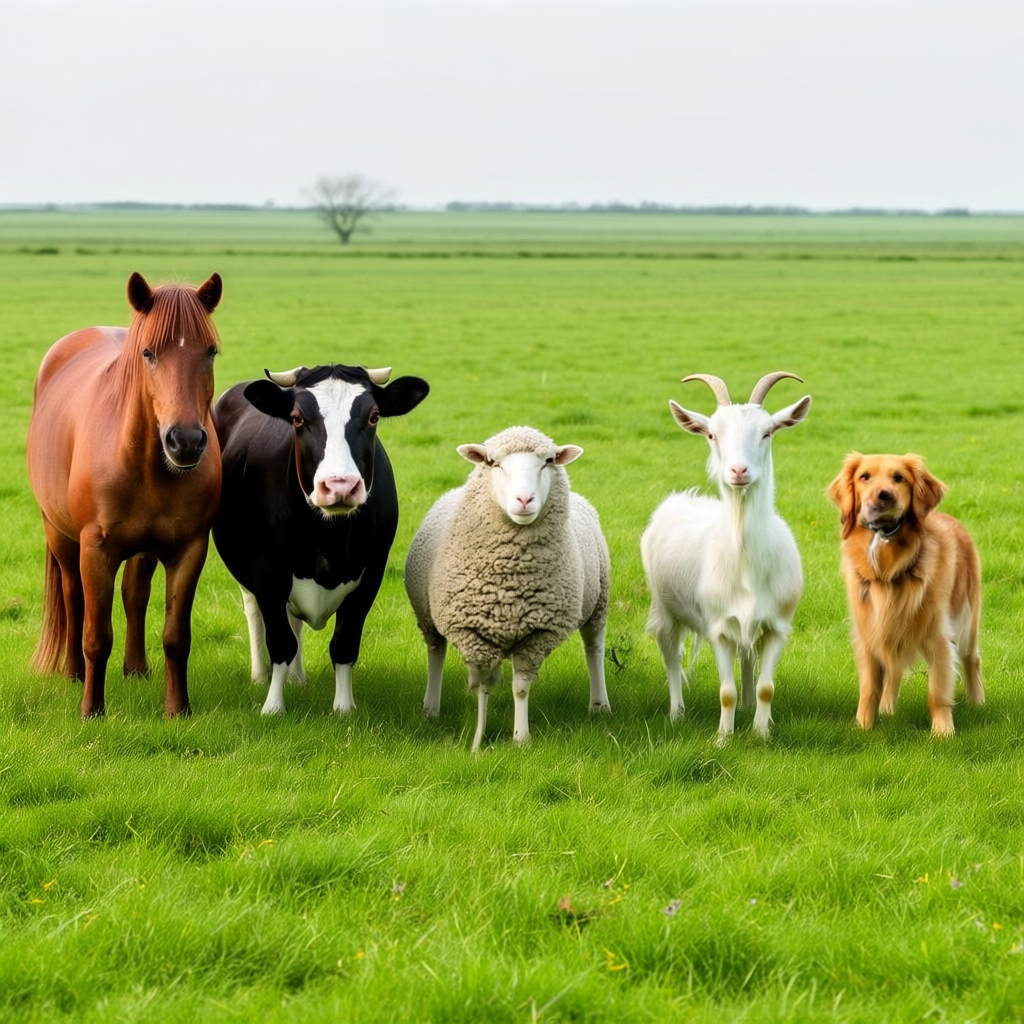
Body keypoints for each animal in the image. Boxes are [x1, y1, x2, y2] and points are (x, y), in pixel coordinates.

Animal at [27, 271, 224, 718]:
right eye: (148, 353)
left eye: (210, 352)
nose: (186, 441)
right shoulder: (95, 549)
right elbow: (96, 635)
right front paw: (91, 712)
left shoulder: (189, 549)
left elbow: (175, 636)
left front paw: (177, 710)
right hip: (59, 535)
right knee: (73, 598)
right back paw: (73, 673)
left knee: (134, 594)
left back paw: (136, 669)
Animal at [212, 363, 430, 714]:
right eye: (298, 418)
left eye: (374, 416)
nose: (340, 485)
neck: (328, 539)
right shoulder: (267, 573)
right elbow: (280, 640)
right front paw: (273, 706)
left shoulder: (371, 575)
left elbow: (344, 643)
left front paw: (343, 708)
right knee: (255, 612)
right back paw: (260, 676)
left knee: (295, 621)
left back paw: (298, 678)